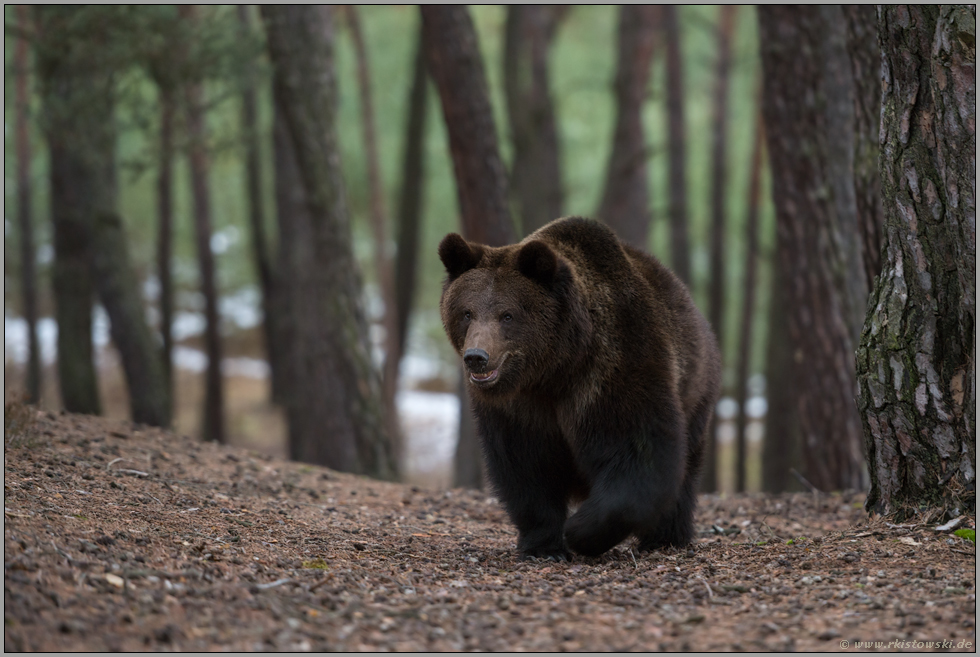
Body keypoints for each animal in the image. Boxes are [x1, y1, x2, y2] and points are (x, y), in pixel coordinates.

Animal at [438, 215, 720, 560]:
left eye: (507, 315)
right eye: (467, 312)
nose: (477, 357)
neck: (554, 368)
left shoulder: (612, 372)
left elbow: (640, 451)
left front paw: (579, 531)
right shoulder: (517, 408)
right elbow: (526, 468)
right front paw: (544, 545)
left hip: (695, 390)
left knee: (685, 467)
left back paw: (664, 537)